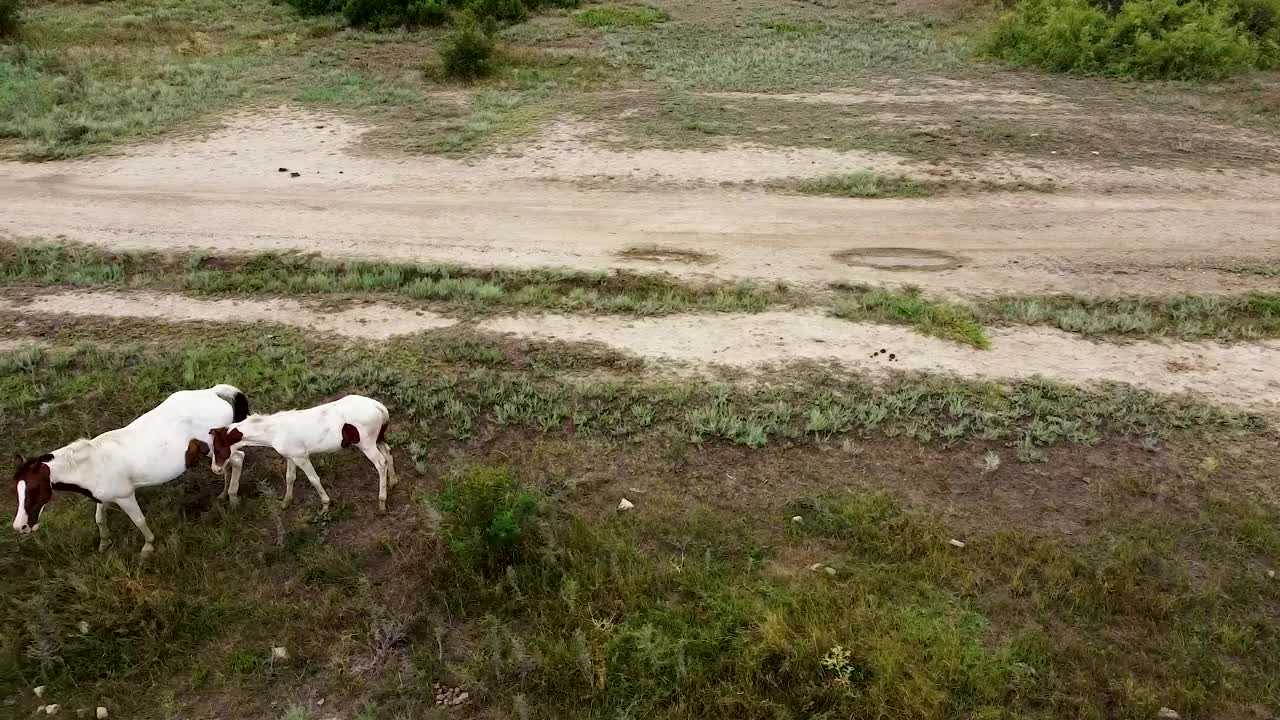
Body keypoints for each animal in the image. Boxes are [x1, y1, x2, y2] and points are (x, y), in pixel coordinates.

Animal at [12, 381, 249, 556]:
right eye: (18, 491)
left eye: (34, 489)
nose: (20, 527)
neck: (92, 463)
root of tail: (213, 392)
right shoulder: (103, 498)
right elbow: (100, 519)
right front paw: (104, 544)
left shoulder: (125, 496)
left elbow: (139, 520)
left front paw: (148, 547)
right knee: (226, 466)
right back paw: (223, 495)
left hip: (213, 448)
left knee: (238, 459)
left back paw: (234, 499)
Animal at [209, 392, 399, 509]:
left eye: (218, 448)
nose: (216, 469)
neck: (276, 430)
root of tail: (378, 407)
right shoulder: (291, 457)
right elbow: (290, 478)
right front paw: (286, 502)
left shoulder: (302, 458)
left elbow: (314, 479)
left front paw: (325, 504)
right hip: (378, 439)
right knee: (388, 452)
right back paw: (393, 482)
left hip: (367, 444)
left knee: (381, 463)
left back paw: (382, 501)